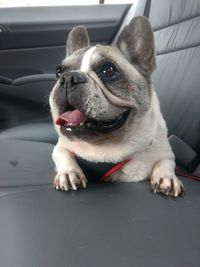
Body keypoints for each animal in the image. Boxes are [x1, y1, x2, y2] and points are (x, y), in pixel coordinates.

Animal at [49, 16, 184, 197]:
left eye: (108, 70)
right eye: (58, 71)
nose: (68, 78)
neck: (102, 147)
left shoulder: (165, 153)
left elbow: (166, 163)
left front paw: (166, 178)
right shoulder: (61, 146)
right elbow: (63, 155)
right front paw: (69, 173)